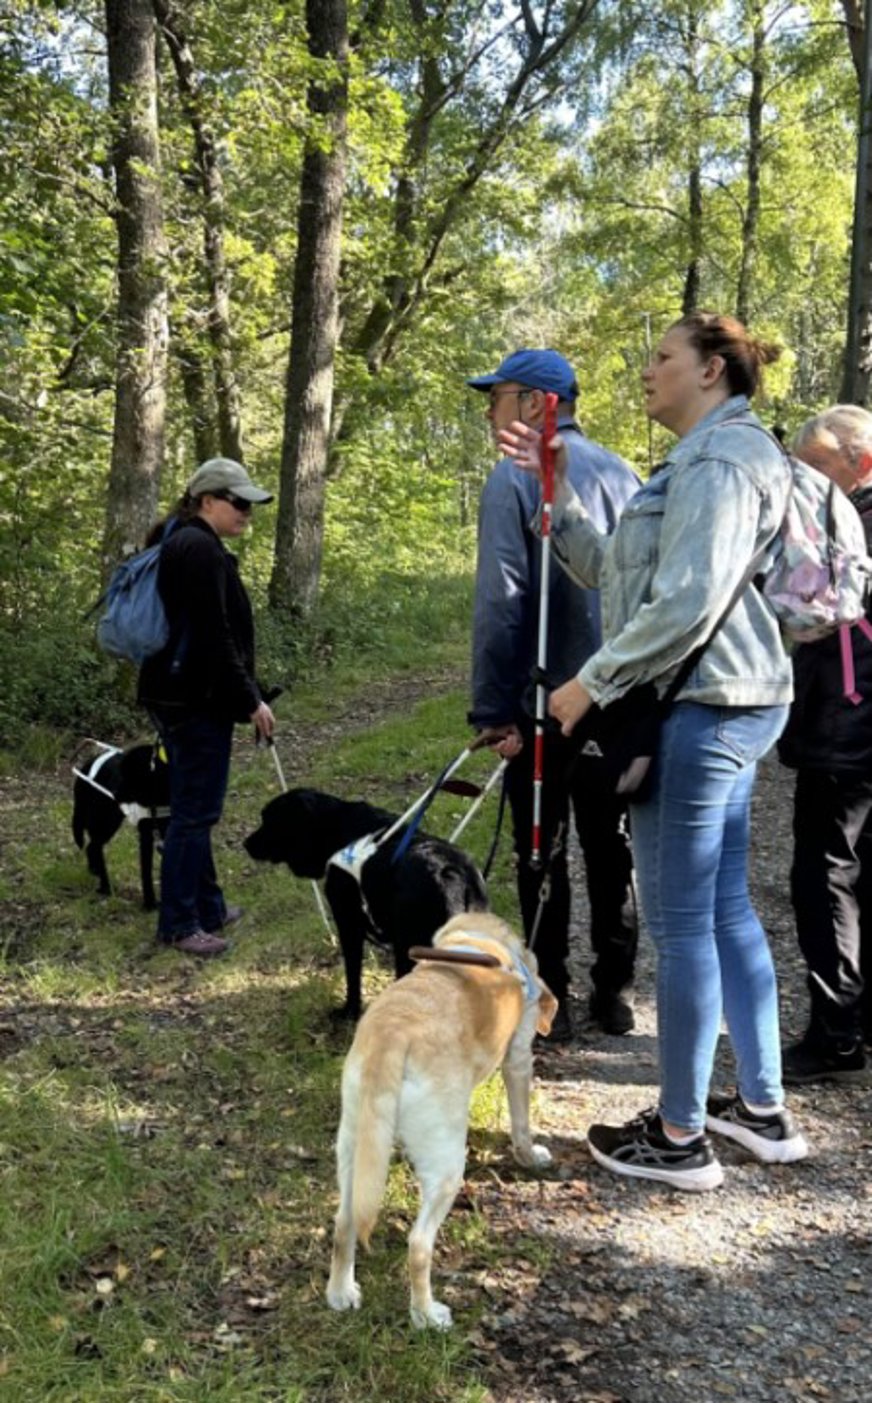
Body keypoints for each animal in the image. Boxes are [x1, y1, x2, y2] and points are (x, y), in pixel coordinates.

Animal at [74, 746, 173, 909]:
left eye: (129, 775)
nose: (114, 794)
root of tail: (87, 765)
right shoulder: (146, 833)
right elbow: (146, 871)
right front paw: (150, 904)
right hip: (107, 822)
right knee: (94, 847)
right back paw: (105, 886)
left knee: (91, 847)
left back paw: (95, 873)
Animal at [243, 791, 493, 1021]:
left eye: (269, 820)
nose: (245, 844)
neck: (336, 830)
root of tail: (452, 874)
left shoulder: (348, 925)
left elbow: (352, 974)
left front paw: (349, 1012)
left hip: (411, 952)